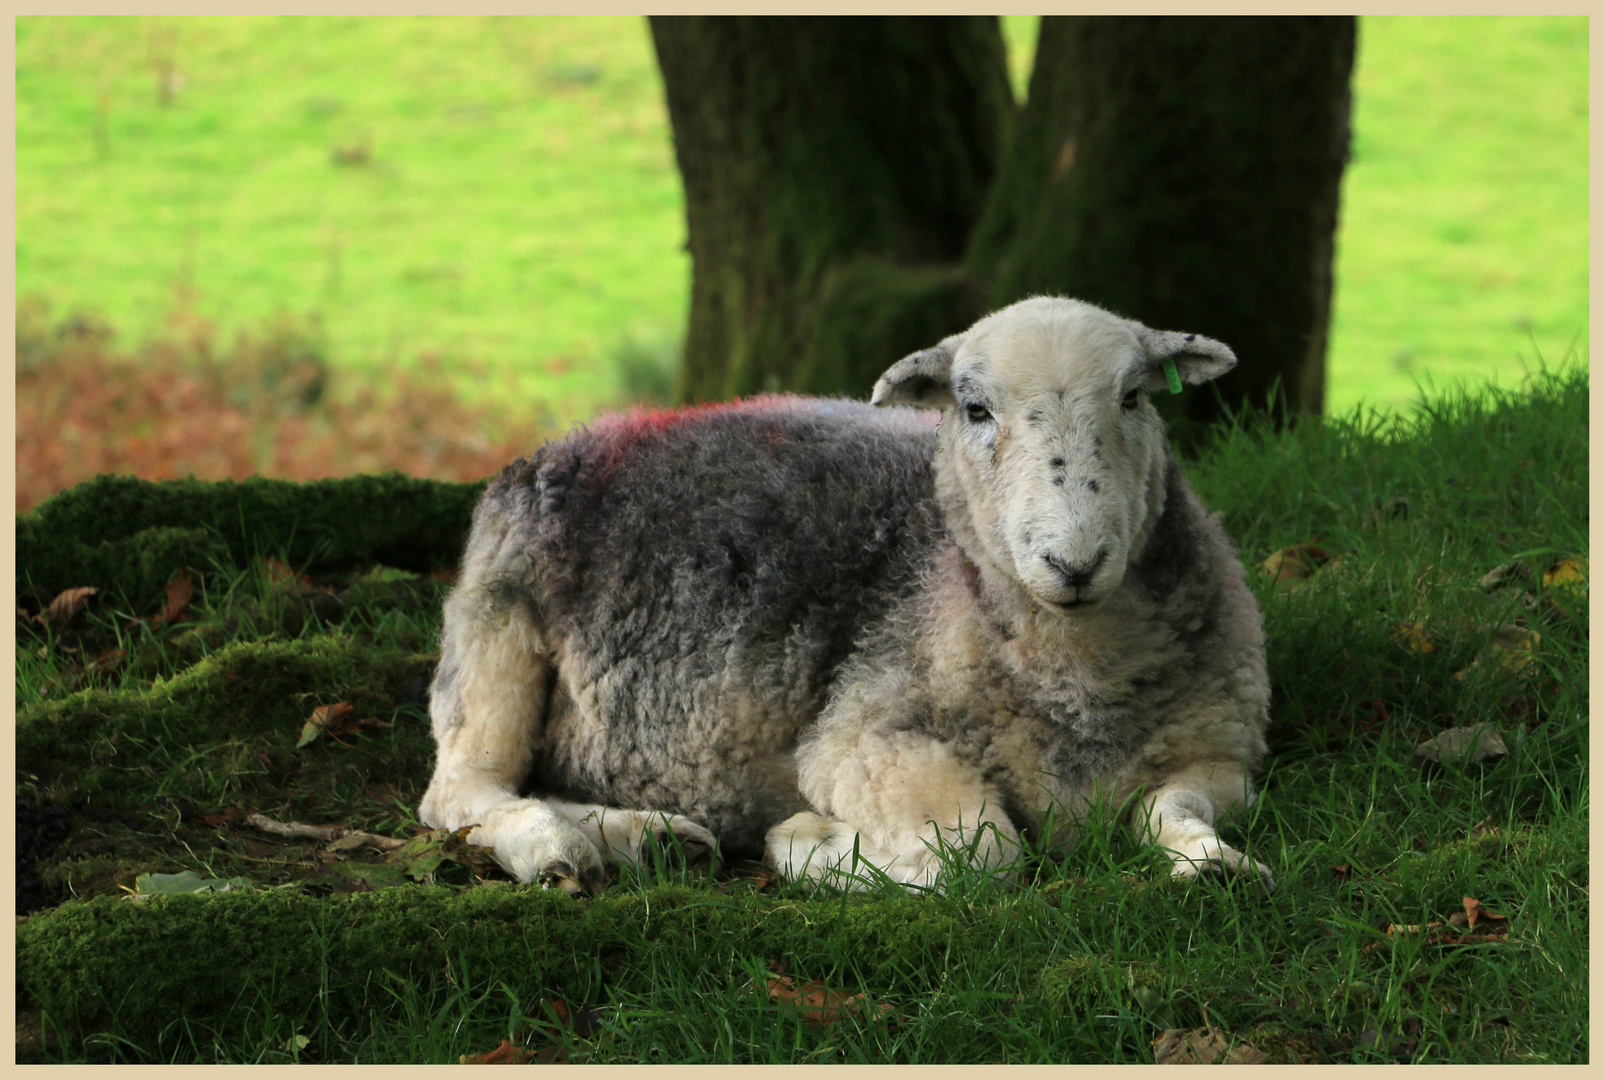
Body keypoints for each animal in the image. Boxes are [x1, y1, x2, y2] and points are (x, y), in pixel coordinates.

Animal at [420, 295, 1271, 892]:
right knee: (461, 793)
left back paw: (647, 837)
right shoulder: (863, 740)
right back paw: (554, 846)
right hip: (496, 630)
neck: (1077, 686)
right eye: (974, 409)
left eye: (1133, 397)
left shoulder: (1221, 753)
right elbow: (977, 856)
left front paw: (1214, 865)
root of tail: (581, 434)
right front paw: (807, 843)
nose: (1074, 561)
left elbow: (1174, 812)